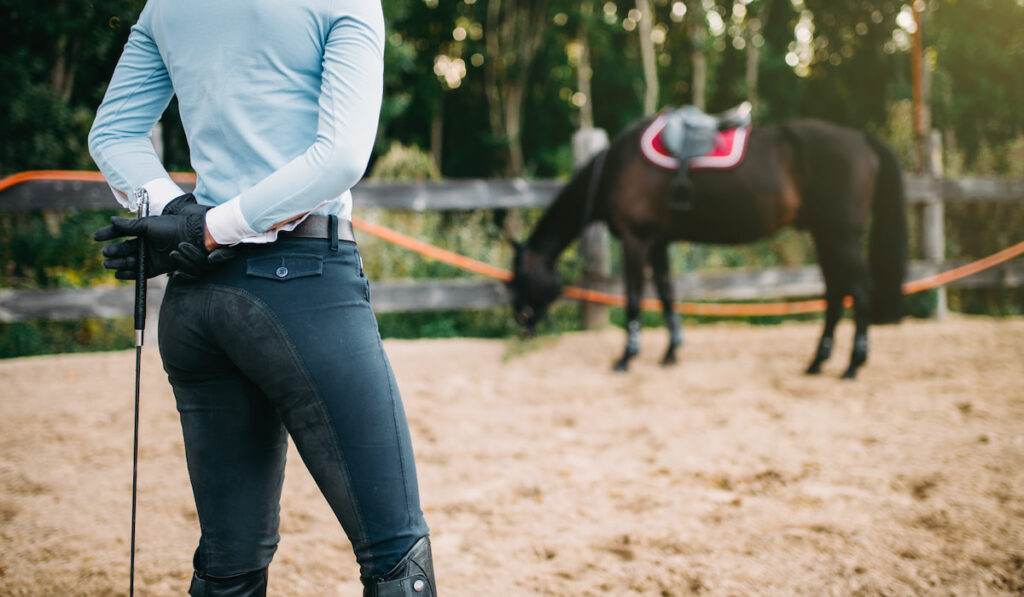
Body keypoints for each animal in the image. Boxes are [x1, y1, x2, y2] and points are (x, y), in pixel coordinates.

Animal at [507, 113, 909, 378]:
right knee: (835, 293)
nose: (521, 324)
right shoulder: (658, 243)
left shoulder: (637, 242)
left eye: (517, 279)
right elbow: (666, 295)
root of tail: (862, 139)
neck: (616, 167)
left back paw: (853, 365)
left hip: (841, 237)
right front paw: (671, 351)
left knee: (859, 290)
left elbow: (635, 297)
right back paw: (817, 362)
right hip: (825, 235)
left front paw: (627, 356)